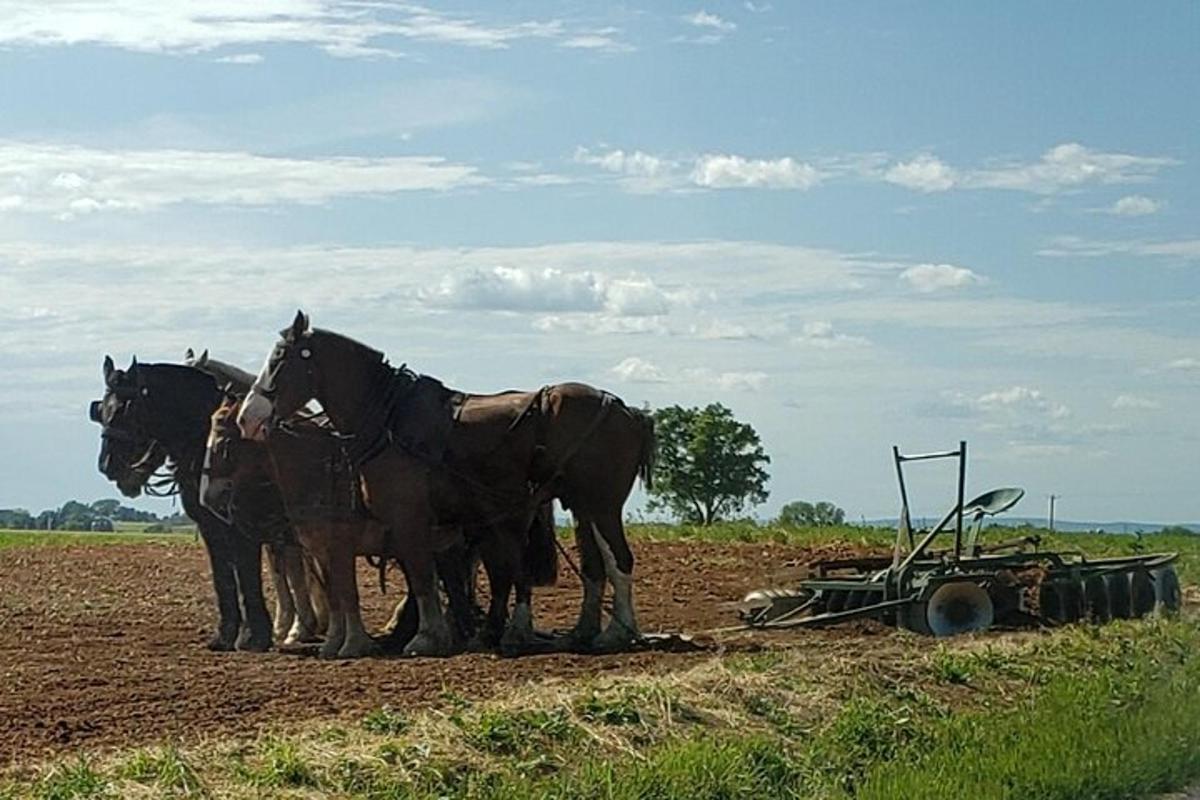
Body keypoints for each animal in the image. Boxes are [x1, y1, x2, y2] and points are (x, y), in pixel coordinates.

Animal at [91, 355, 314, 652]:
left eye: (127, 409)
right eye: (102, 409)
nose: (107, 465)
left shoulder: (240, 526)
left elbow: (247, 577)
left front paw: (254, 636)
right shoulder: (210, 527)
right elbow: (223, 579)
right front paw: (225, 635)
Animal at [235, 311, 657, 657]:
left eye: (280, 359)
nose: (247, 418)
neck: (389, 419)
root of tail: (625, 409)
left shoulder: (409, 516)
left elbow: (422, 575)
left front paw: (426, 637)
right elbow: (425, 574)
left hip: (602, 504)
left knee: (618, 560)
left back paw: (618, 632)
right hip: (581, 506)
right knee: (592, 565)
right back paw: (581, 632)